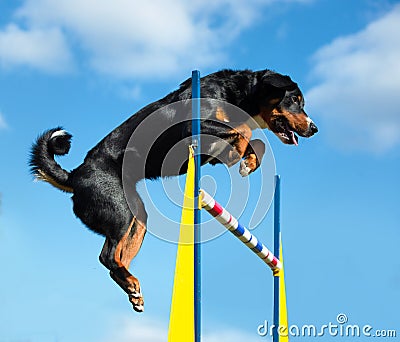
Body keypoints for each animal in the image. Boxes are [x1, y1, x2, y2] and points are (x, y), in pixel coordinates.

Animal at [28, 68, 318, 312]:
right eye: (295, 100)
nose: (314, 128)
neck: (236, 94)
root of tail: (74, 175)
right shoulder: (196, 126)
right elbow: (244, 131)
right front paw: (244, 156)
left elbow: (257, 142)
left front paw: (248, 161)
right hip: (121, 212)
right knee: (107, 257)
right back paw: (131, 284)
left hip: (137, 218)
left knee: (116, 260)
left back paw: (134, 290)